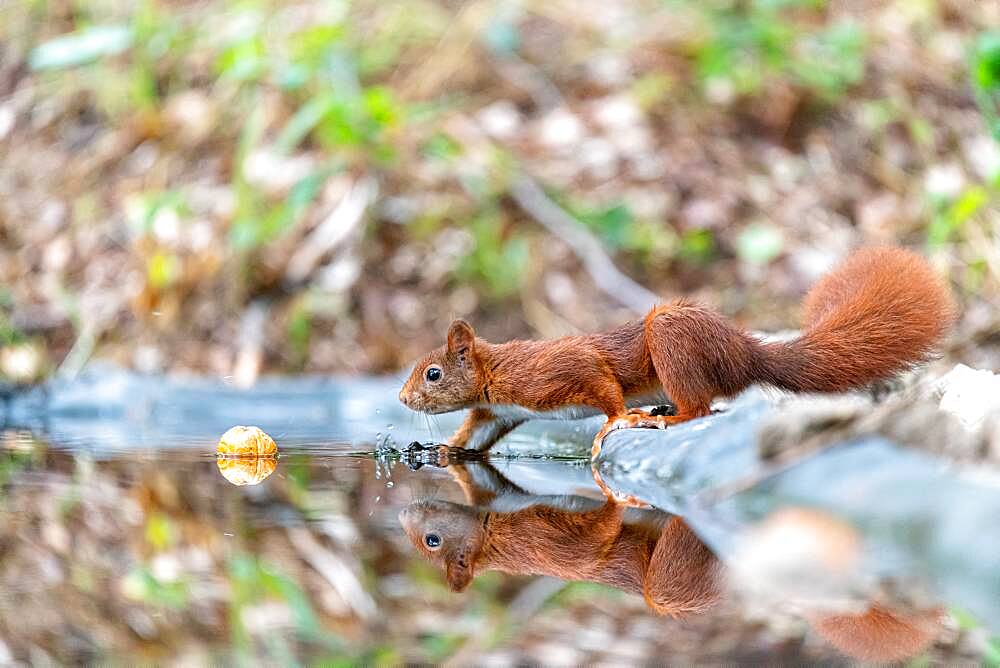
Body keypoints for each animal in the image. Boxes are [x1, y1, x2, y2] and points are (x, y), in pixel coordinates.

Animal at [398, 247, 952, 454]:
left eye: (432, 373)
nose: (401, 400)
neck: (497, 372)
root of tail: (745, 353)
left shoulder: (561, 372)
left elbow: (604, 387)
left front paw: (616, 422)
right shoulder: (498, 411)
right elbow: (473, 436)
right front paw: (438, 450)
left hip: (671, 337)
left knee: (702, 407)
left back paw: (661, 418)